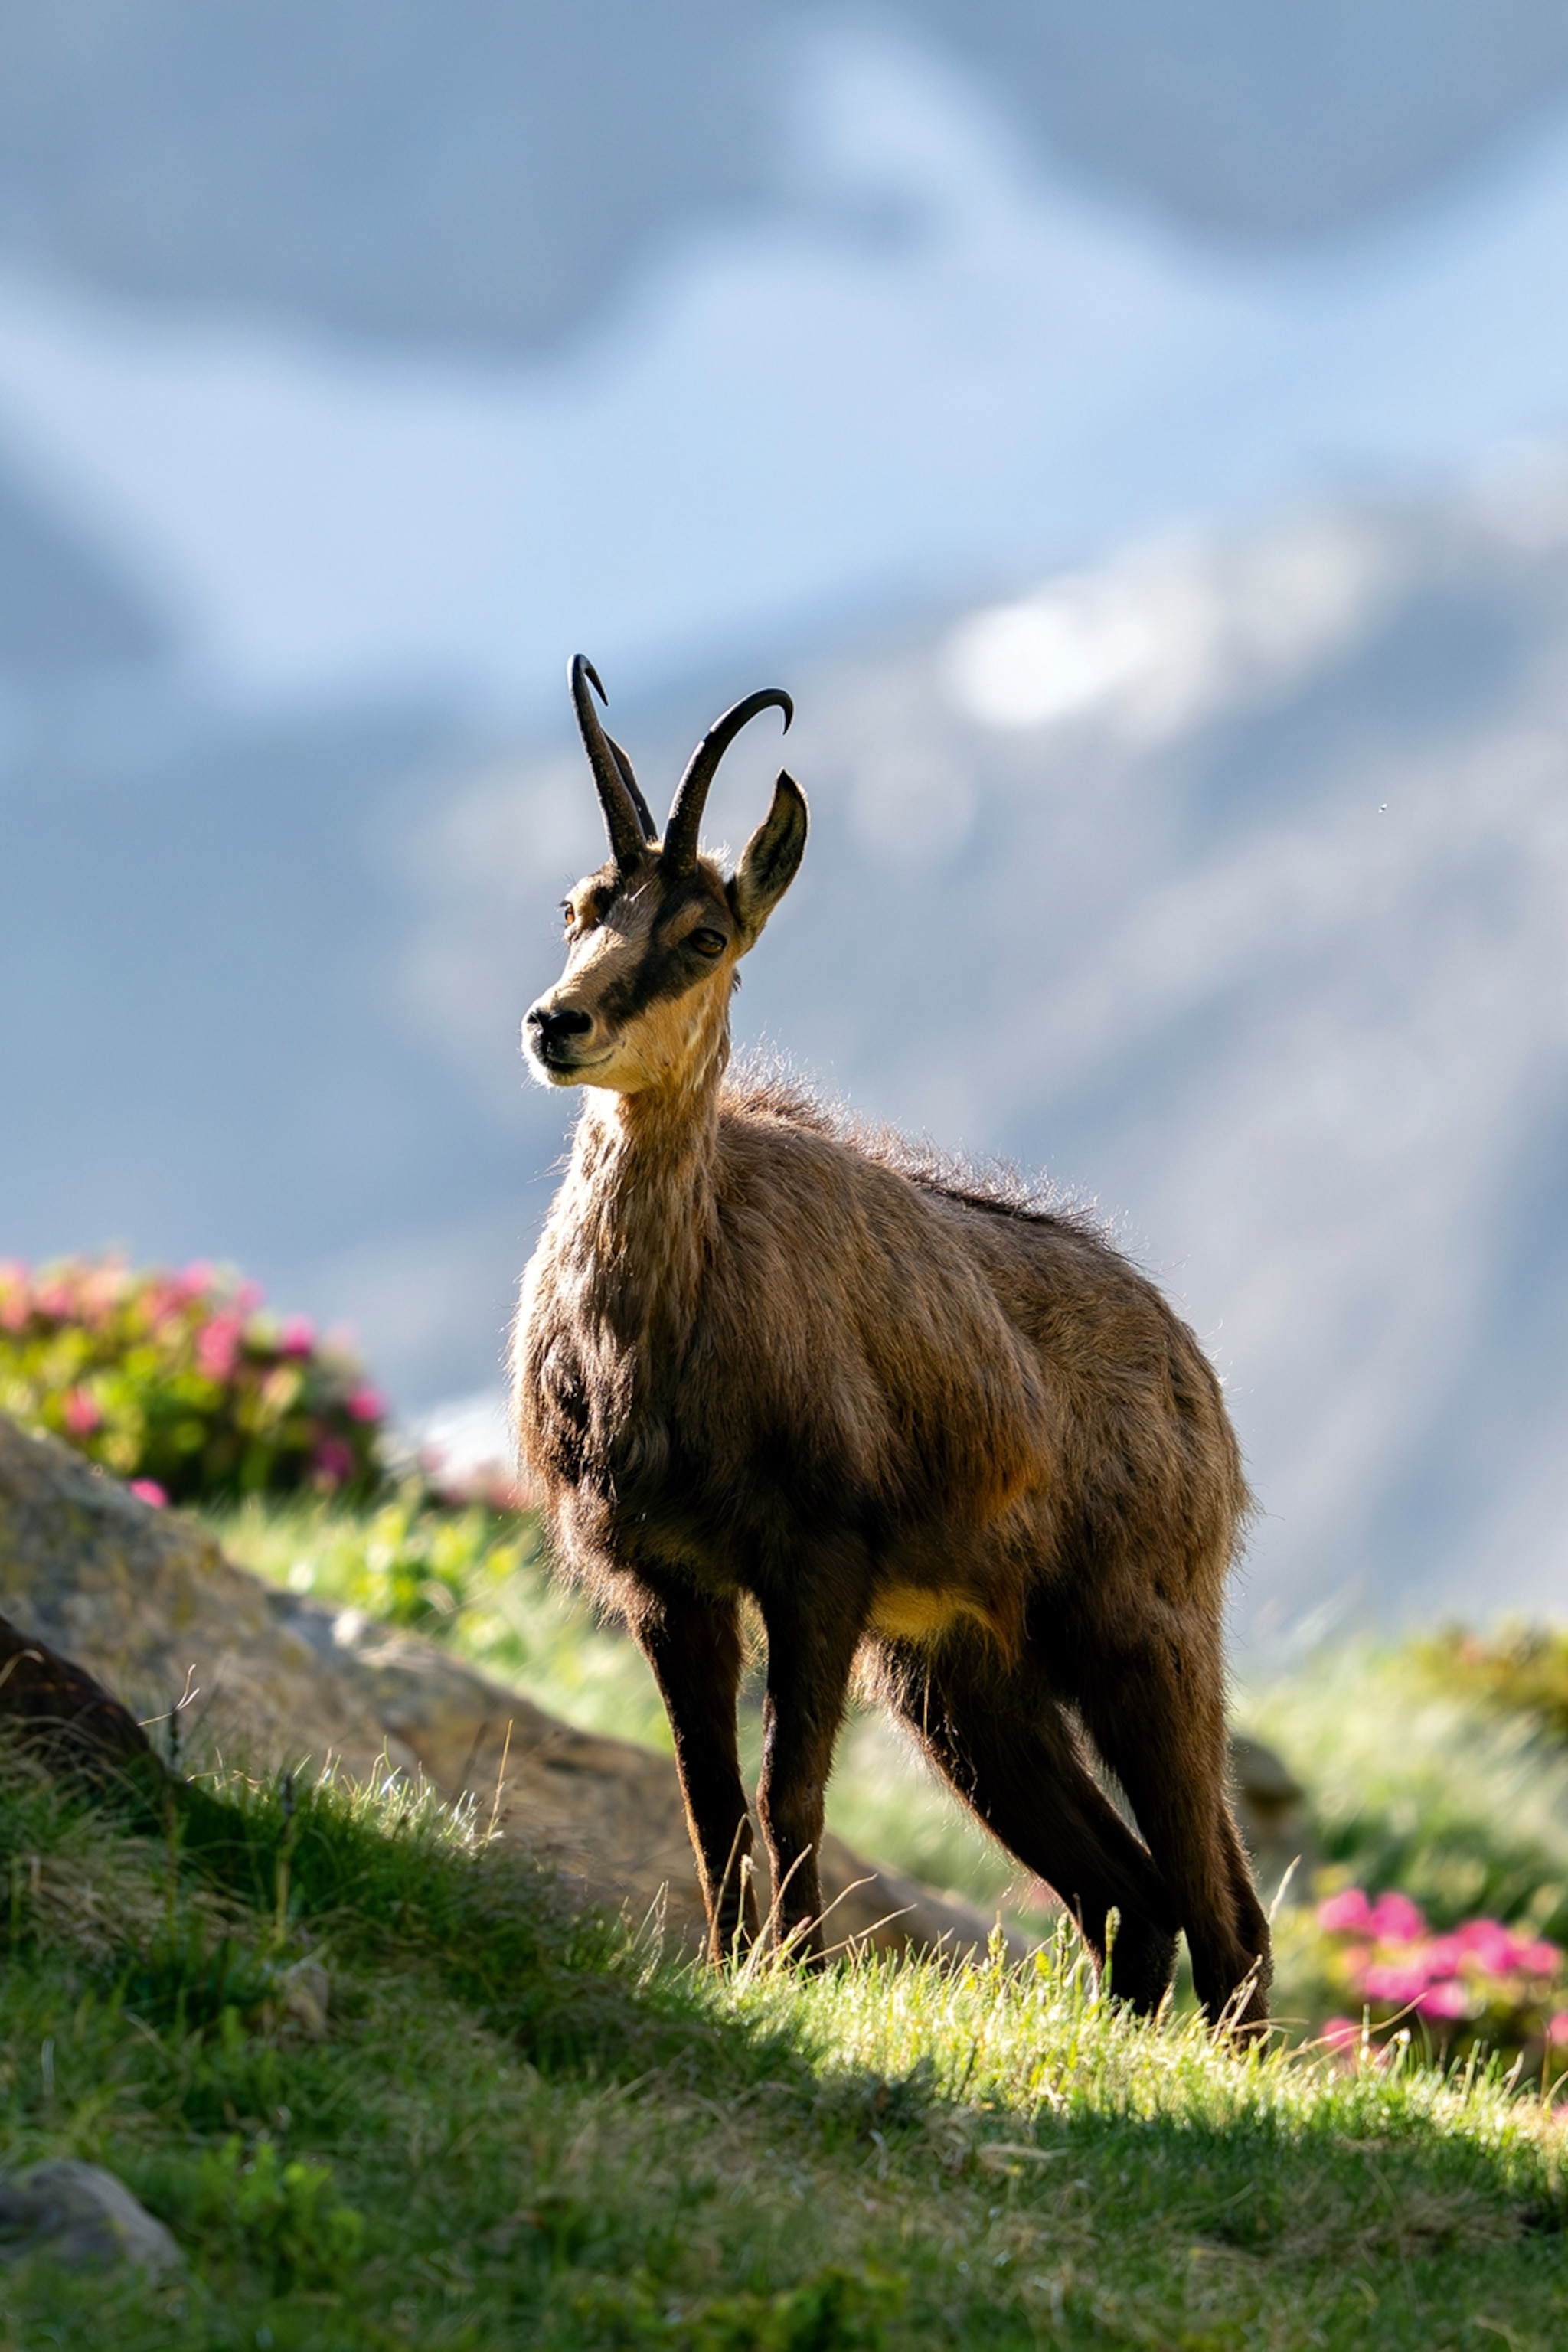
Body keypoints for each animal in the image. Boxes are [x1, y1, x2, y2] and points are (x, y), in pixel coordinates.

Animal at [512, 657, 1271, 2029]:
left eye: (703, 935)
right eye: (578, 905)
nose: (559, 1024)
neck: (660, 1333)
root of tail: (1200, 1381)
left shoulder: (817, 1558)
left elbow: (786, 1787)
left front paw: (802, 1978)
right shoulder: (664, 1575)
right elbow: (708, 1798)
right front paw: (735, 1969)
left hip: (1141, 1630)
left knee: (1222, 1907)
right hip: (962, 1673)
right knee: (1125, 1888)